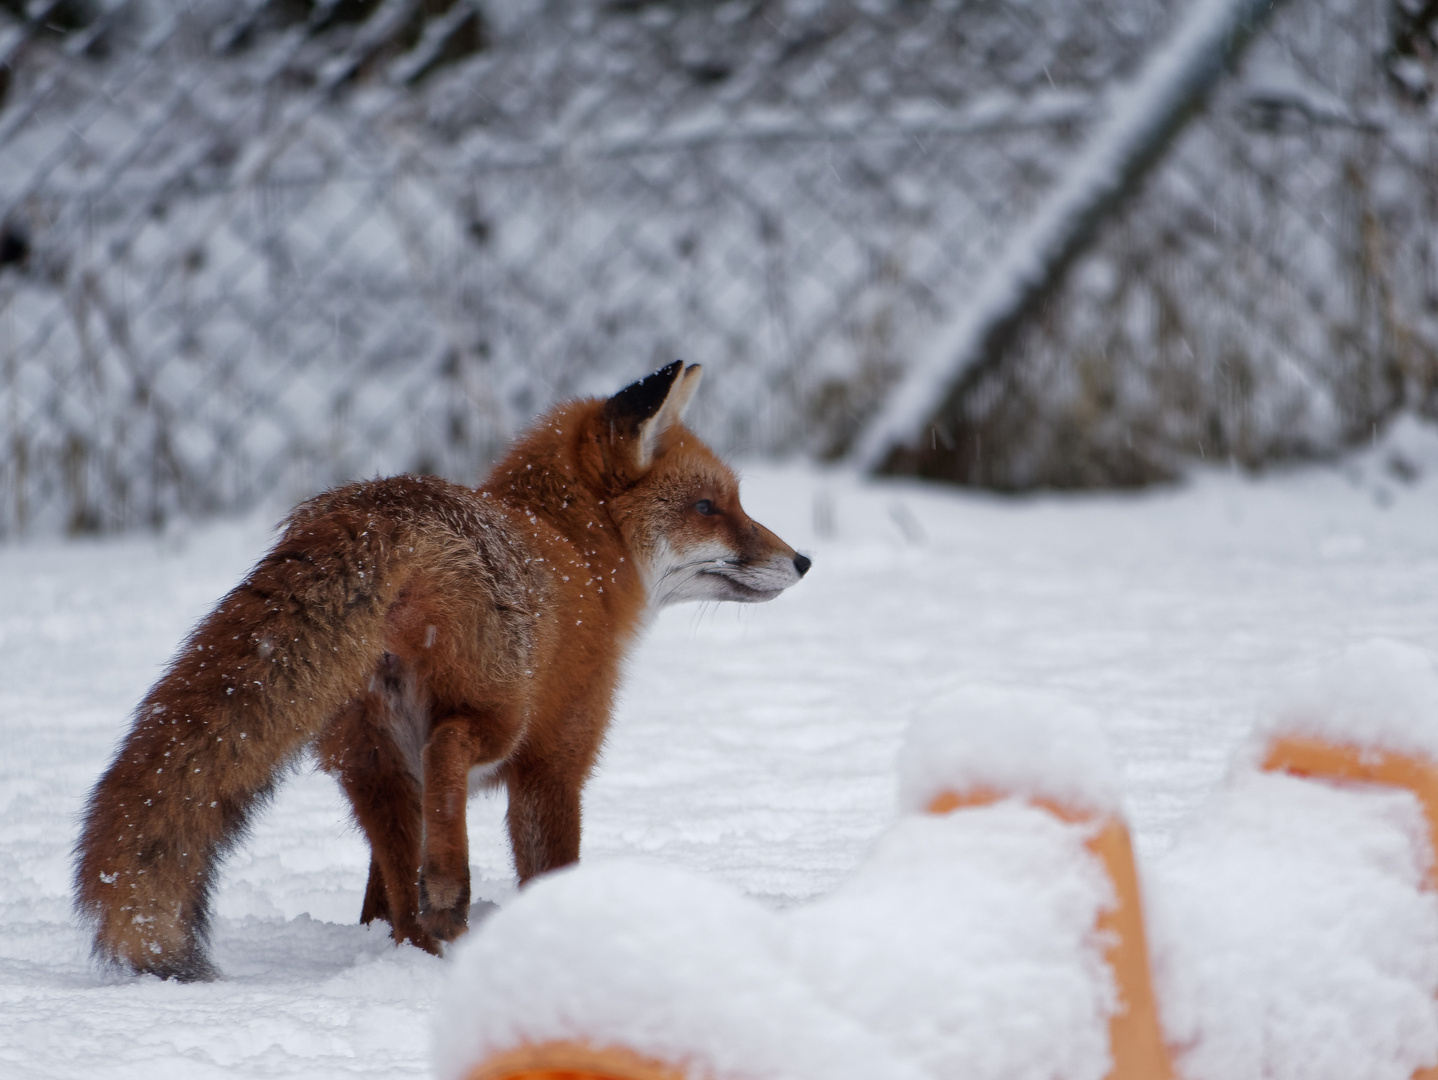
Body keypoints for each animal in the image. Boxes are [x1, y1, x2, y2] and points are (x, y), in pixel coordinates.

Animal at [72, 360, 811, 977]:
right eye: (709, 508)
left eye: (734, 502)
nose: (802, 560)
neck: (572, 548)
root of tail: (379, 506)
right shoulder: (554, 764)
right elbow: (551, 865)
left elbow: (377, 895)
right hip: (492, 714)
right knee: (449, 749)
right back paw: (451, 892)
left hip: (368, 762)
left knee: (402, 883)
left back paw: (422, 948)